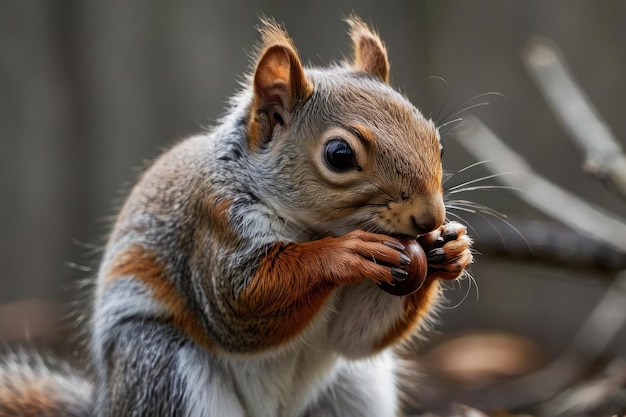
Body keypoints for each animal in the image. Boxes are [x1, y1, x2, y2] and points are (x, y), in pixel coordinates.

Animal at [0, 14, 468, 416]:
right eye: (339, 155)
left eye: (437, 142)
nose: (430, 218)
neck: (314, 227)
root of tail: (106, 405)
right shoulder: (216, 223)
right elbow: (237, 304)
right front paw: (346, 253)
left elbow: (355, 336)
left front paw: (452, 249)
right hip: (161, 365)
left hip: (356, 387)